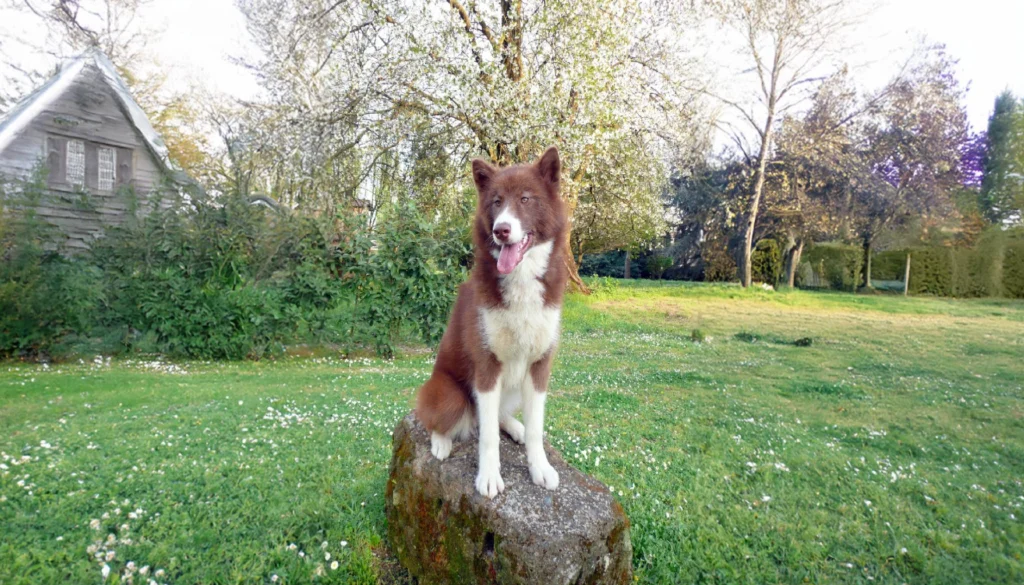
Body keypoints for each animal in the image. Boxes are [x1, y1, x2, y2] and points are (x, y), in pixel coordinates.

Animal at [413, 146, 569, 499]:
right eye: (496, 202)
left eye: (525, 199)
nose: (501, 230)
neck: (521, 279)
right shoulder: (486, 365)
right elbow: (487, 437)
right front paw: (488, 477)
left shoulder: (539, 365)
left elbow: (536, 428)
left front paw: (540, 467)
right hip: (449, 393)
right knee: (438, 418)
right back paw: (441, 442)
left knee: (498, 415)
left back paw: (515, 426)